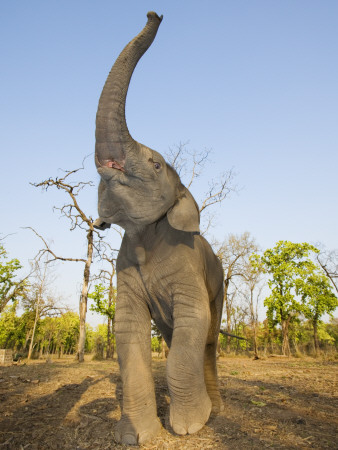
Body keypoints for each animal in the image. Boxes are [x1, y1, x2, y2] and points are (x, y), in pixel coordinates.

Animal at [93, 11, 224, 446]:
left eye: (154, 164)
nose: (155, 14)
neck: (145, 236)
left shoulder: (189, 268)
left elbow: (195, 320)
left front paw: (188, 427)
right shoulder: (126, 273)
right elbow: (128, 330)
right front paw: (134, 436)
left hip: (222, 283)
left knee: (208, 340)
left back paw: (217, 410)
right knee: (171, 336)